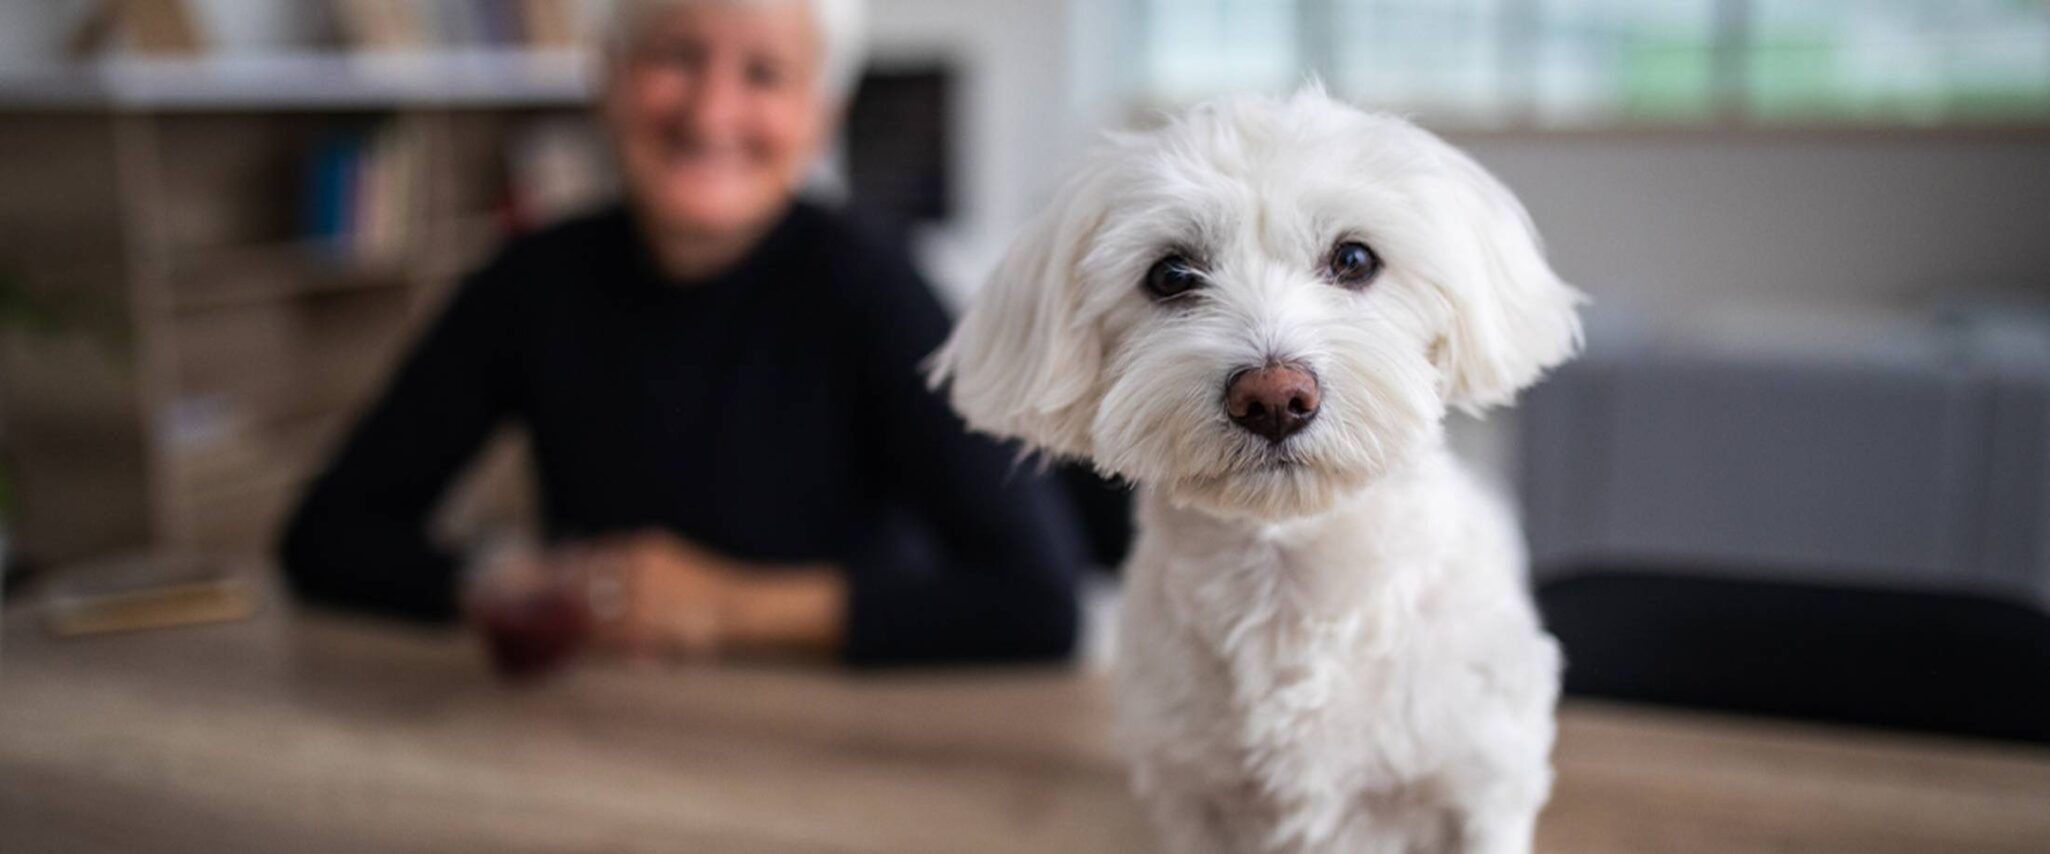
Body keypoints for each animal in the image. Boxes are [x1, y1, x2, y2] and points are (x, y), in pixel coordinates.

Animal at [930, 88, 1582, 851]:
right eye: (1171, 274)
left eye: (1354, 258)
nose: (1273, 397)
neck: (1289, 583)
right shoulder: (1192, 799)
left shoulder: (1485, 787)